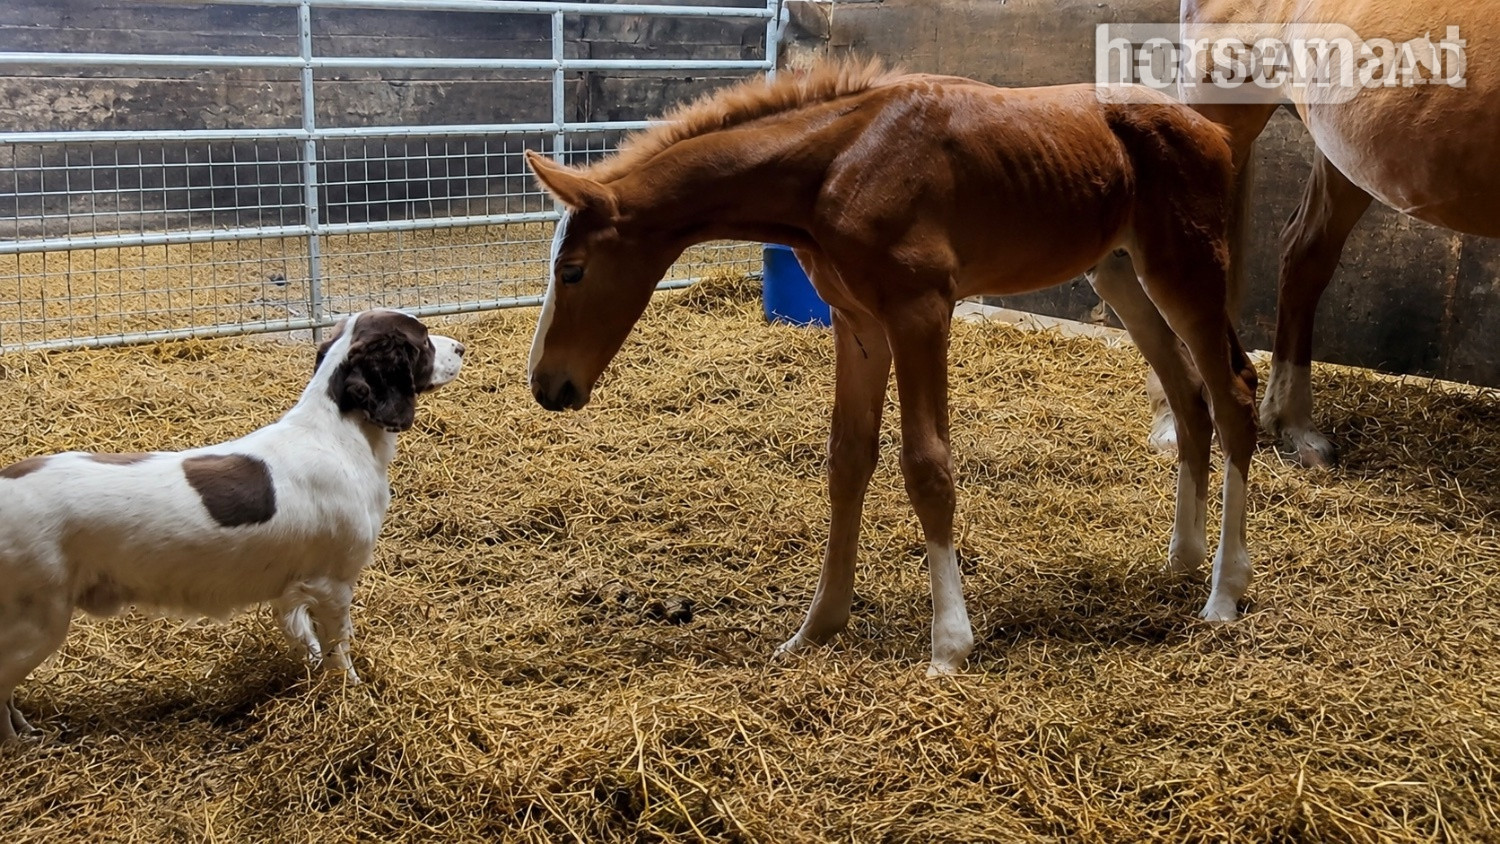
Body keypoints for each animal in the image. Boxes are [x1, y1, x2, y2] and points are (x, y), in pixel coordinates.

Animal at [524, 60, 1258, 676]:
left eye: (574, 270)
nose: (546, 385)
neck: (837, 164)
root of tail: (1213, 130)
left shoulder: (920, 311)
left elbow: (928, 466)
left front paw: (949, 646)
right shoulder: (860, 324)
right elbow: (848, 460)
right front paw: (816, 628)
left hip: (1187, 266)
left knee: (1234, 395)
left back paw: (1224, 593)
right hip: (1121, 273)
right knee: (1188, 395)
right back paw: (1183, 559)